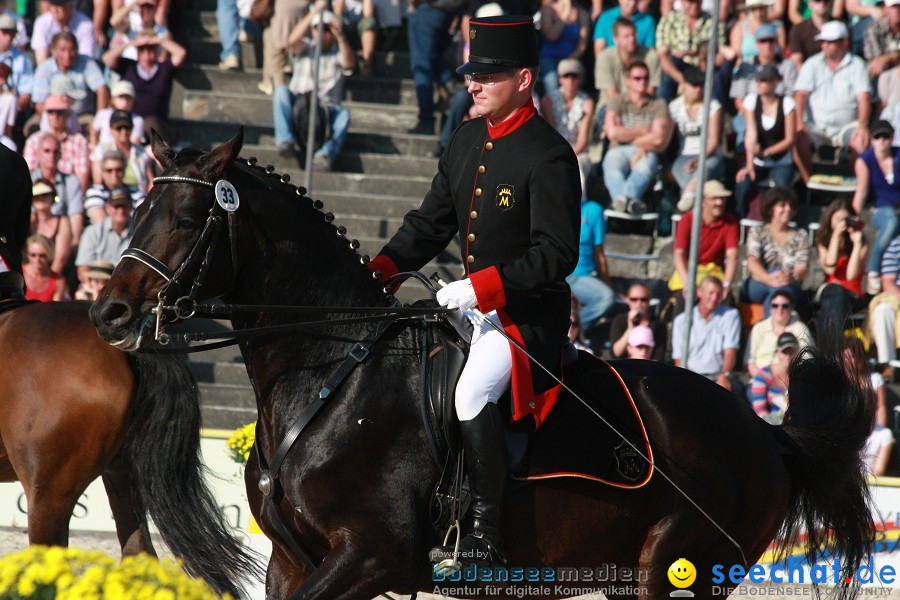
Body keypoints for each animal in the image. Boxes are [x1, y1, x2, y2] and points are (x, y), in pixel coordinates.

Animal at [93, 129, 880, 596]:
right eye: (135, 208)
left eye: (188, 220)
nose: (111, 315)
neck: (331, 374)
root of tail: (765, 431)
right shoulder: (292, 562)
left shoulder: (368, 555)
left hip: (678, 571)